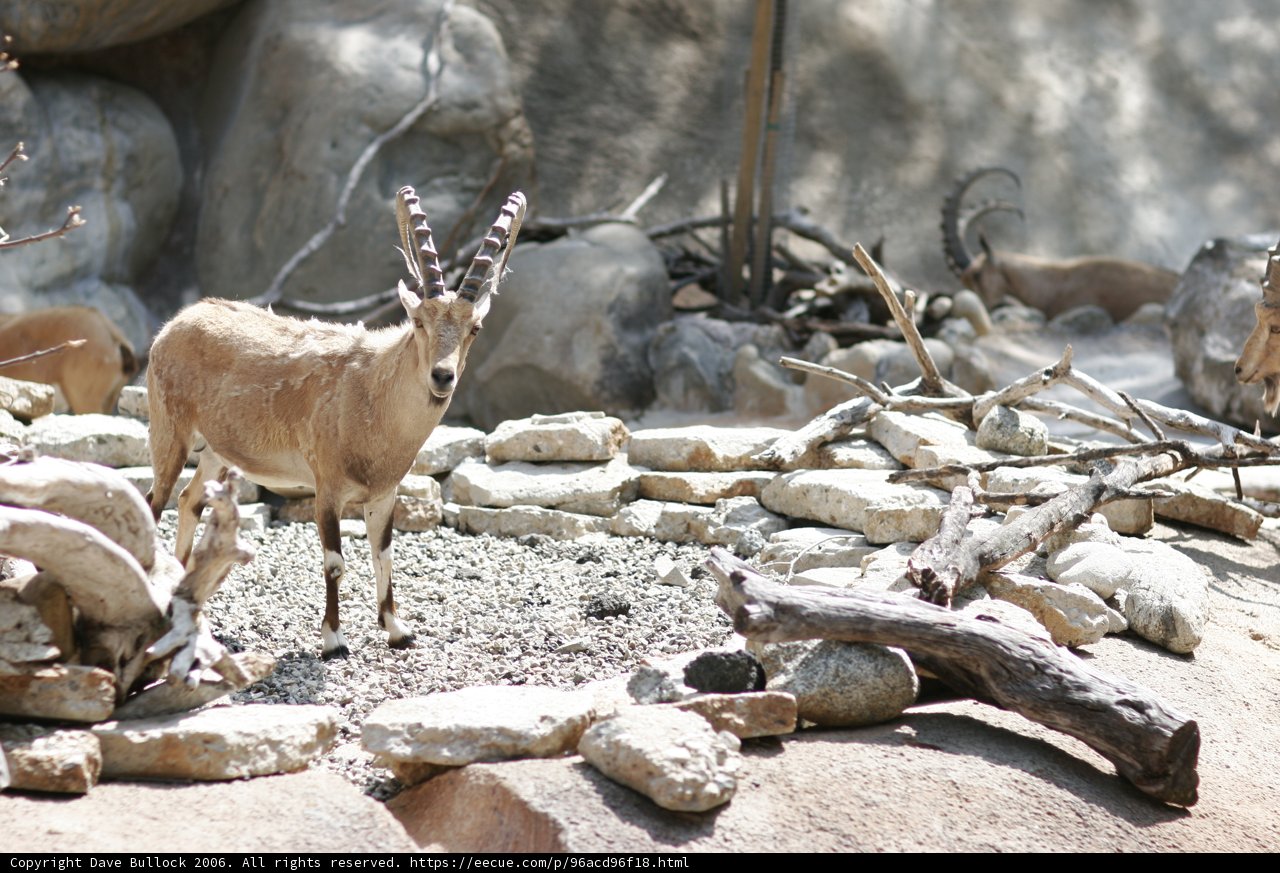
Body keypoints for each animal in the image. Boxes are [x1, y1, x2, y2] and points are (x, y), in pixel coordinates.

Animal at [146, 187, 526, 658]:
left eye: (475, 327)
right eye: (418, 321)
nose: (442, 376)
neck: (371, 398)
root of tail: (175, 323)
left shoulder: (383, 494)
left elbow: (383, 554)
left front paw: (397, 630)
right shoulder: (326, 488)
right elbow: (335, 562)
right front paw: (333, 640)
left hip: (218, 452)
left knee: (189, 501)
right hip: (170, 432)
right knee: (155, 501)